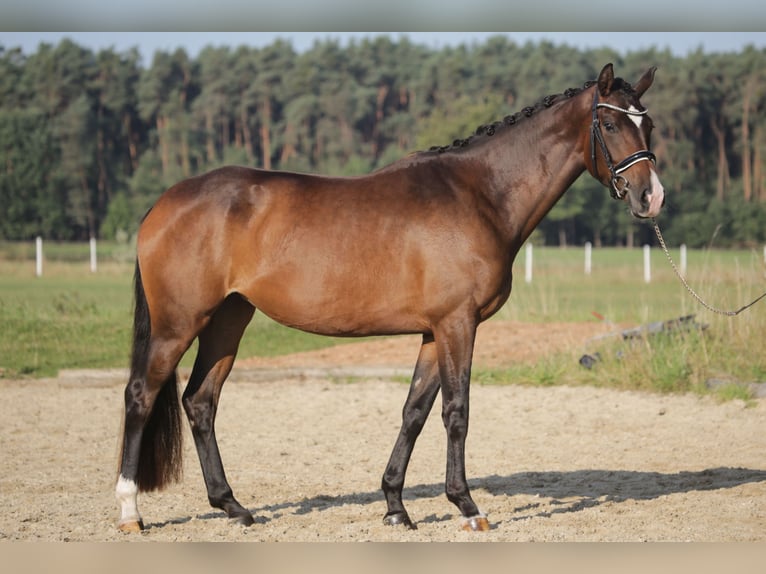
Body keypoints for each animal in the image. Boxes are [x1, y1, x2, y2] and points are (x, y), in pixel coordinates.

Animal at [114, 64, 664, 536]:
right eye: (610, 124)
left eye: (649, 124)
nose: (650, 197)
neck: (479, 194)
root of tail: (165, 202)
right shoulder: (458, 324)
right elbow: (457, 412)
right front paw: (467, 506)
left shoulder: (433, 331)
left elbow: (414, 412)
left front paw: (396, 507)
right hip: (178, 323)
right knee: (141, 395)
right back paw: (130, 511)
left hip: (229, 317)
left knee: (200, 401)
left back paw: (233, 506)